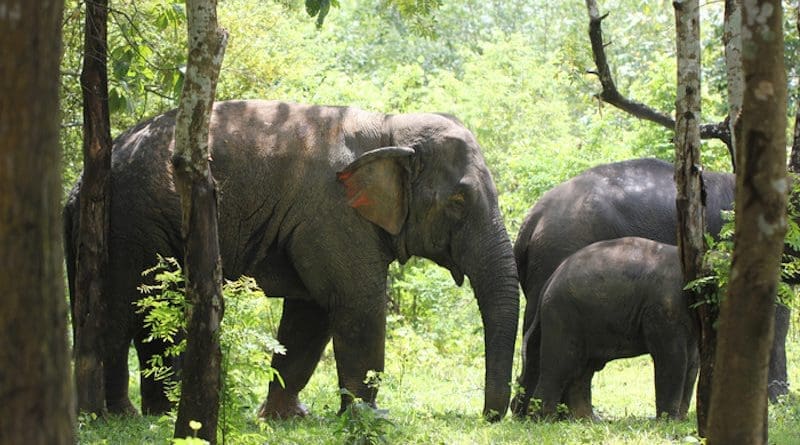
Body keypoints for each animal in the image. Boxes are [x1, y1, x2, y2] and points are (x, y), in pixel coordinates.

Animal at [65, 98, 520, 420]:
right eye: (459, 201)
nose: (490, 416)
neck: (390, 125)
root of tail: (78, 185)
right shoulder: (333, 214)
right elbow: (357, 305)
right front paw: (370, 418)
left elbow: (310, 315)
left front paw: (285, 417)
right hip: (131, 223)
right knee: (125, 310)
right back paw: (124, 415)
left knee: (149, 315)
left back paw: (158, 412)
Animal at [520, 236, 696, 420]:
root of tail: (549, 281)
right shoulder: (663, 309)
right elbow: (672, 358)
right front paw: (669, 421)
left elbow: (691, 362)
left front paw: (680, 419)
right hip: (562, 315)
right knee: (560, 364)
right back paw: (543, 419)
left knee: (582, 369)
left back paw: (588, 420)